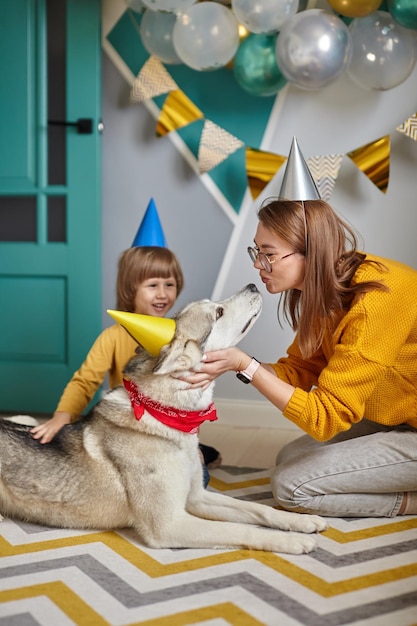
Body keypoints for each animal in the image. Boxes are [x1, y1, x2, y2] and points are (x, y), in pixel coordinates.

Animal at [0, 282, 324, 552]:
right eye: (218, 312)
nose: (254, 284)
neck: (166, 416)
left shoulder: (196, 497)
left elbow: (259, 509)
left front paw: (300, 522)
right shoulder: (169, 525)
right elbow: (241, 530)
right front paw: (290, 541)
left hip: (27, 418)